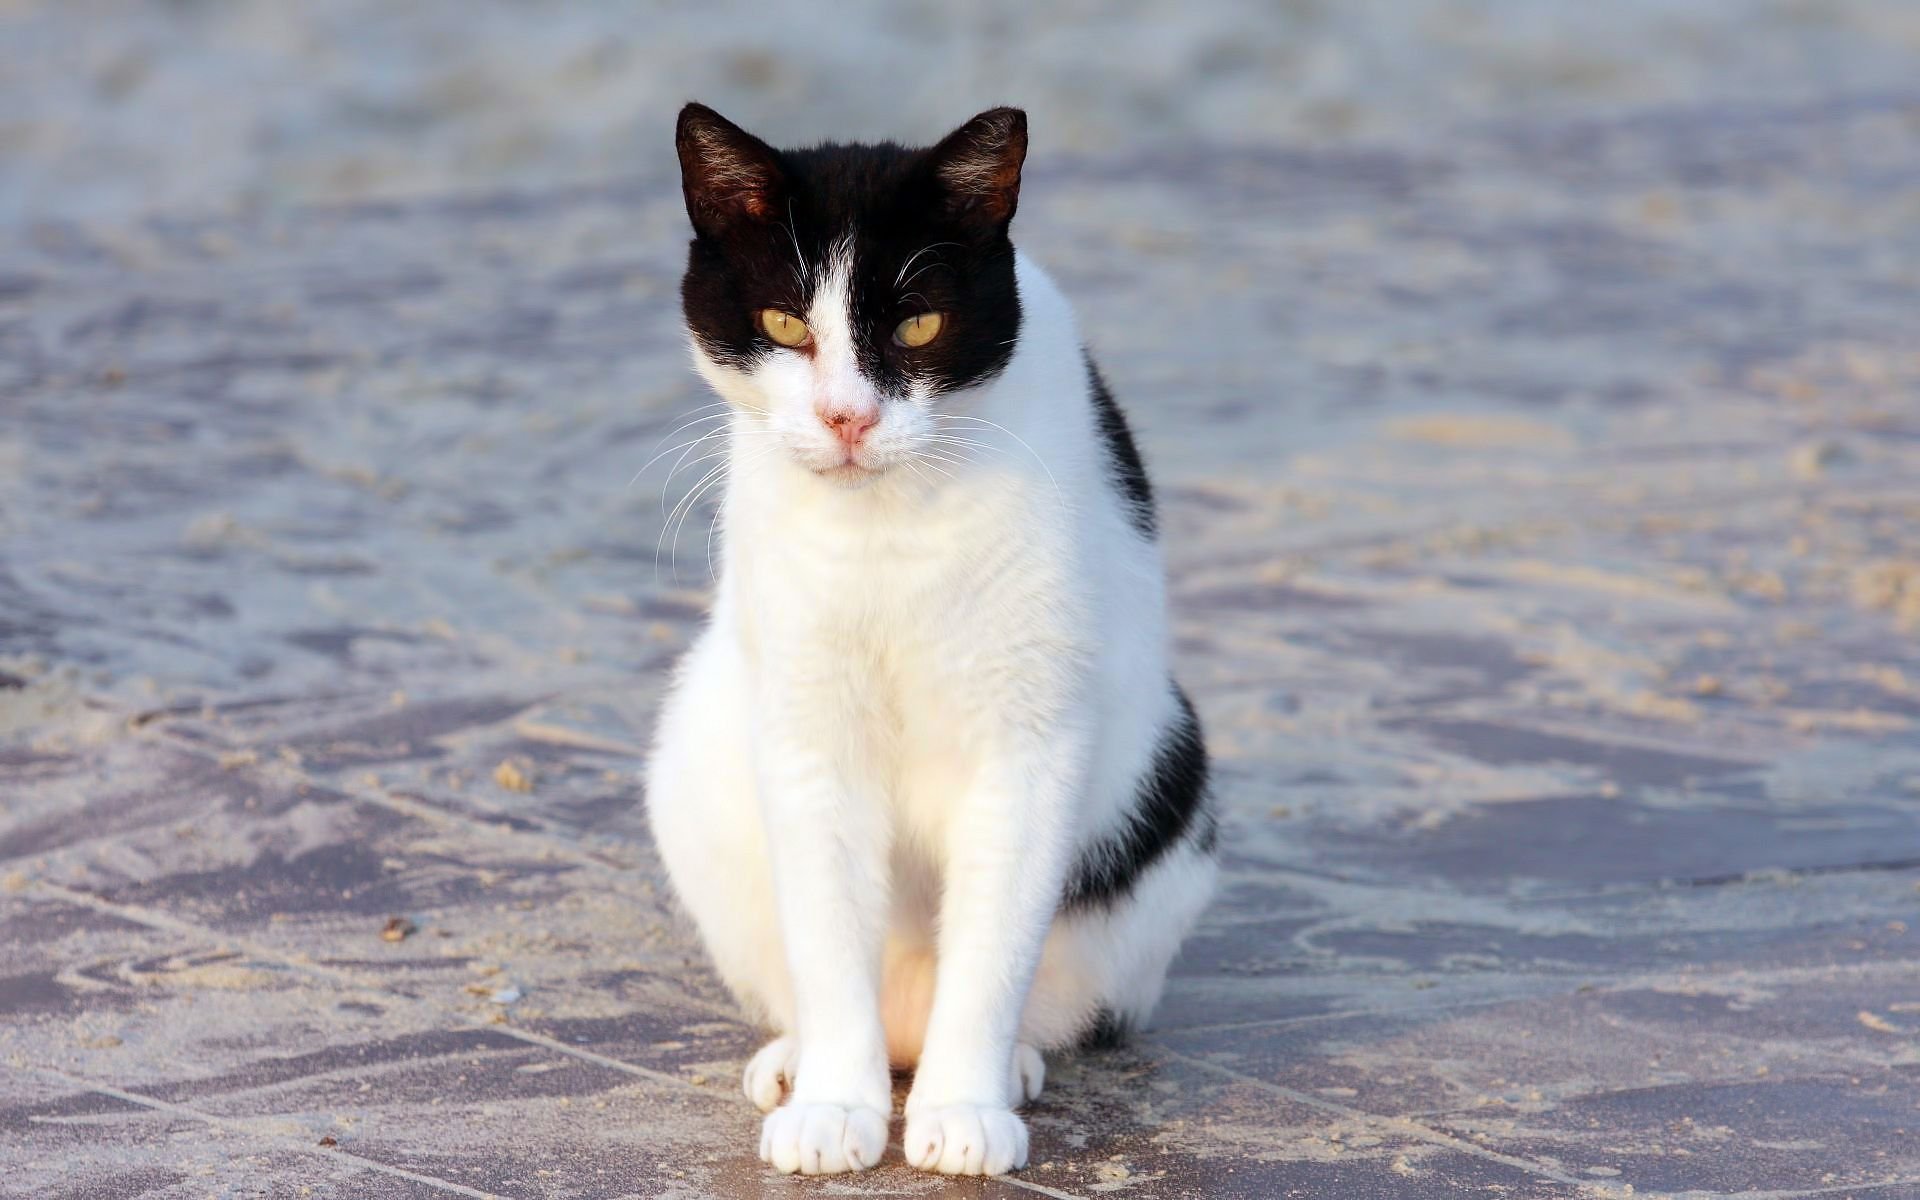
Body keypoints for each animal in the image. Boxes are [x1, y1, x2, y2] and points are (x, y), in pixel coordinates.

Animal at [645, 100, 1213, 1167]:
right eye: (784, 324)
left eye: (918, 323)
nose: (847, 418)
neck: (889, 528)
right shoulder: (808, 733)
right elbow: (829, 935)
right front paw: (834, 1105)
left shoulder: (1028, 746)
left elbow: (990, 949)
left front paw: (963, 1111)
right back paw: (802, 1061)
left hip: (1171, 788)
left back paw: (1006, 1067)